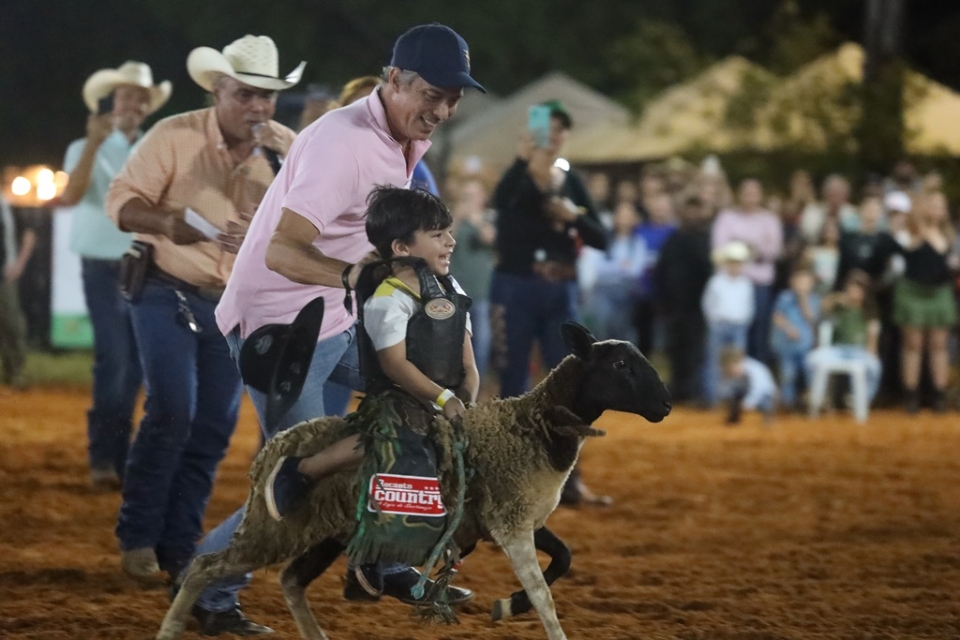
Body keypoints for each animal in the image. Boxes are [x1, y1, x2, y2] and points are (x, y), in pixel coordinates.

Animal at [156, 322, 668, 640]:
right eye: (621, 365)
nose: (664, 405)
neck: (531, 425)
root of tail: (273, 445)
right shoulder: (511, 524)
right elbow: (545, 594)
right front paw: (527, 613)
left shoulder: (516, 519)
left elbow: (563, 559)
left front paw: (507, 607)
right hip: (275, 528)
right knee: (205, 567)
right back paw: (171, 626)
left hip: (325, 531)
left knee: (290, 580)